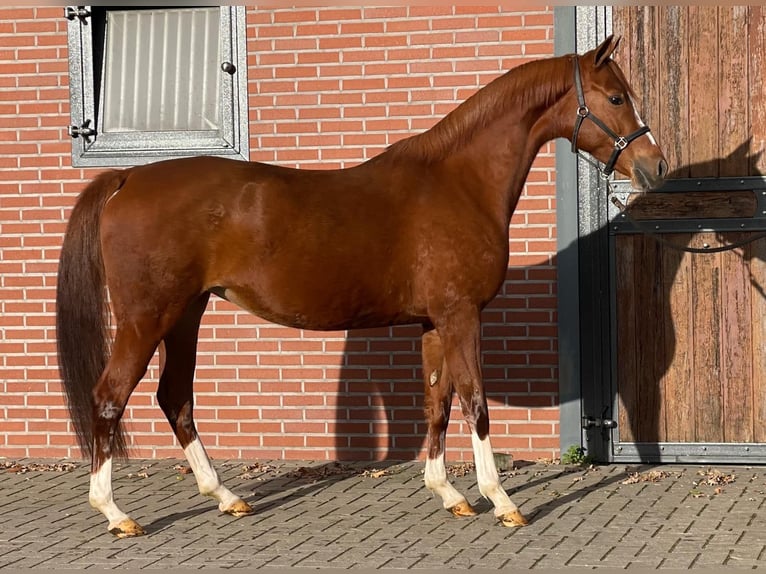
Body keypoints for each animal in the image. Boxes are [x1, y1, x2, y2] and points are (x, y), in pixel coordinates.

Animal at [57, 37, 664, 540]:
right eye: (615, 98)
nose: (654, 166)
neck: (458, 182)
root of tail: (128, 178)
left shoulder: (434, 323)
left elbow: (438, 402)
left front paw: (449, 494)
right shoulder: (461, 315)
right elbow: (475, 403)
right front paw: (502, 500)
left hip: (186, 313)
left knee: (174, 397)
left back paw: (226, 496)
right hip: (147, 318)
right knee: (109, 398)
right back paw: (116, 513)